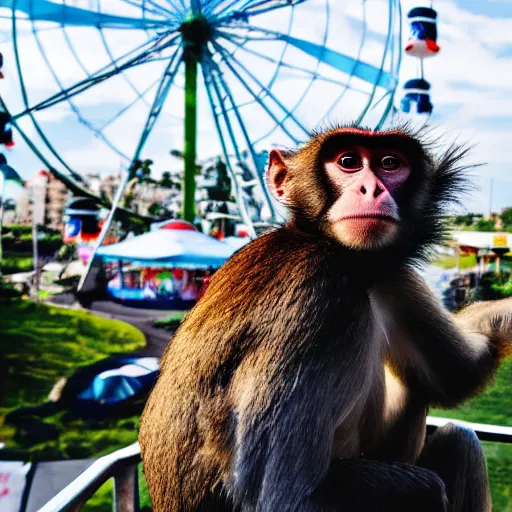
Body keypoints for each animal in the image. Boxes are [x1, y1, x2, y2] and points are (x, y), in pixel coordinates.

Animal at [138, 125, 510, 512]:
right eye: (347, 161)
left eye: (390, 163)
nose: (371, 189)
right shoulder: (317, 291)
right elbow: (286, 499)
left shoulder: (390, 274)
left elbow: (457, 376)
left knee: (458, 438)